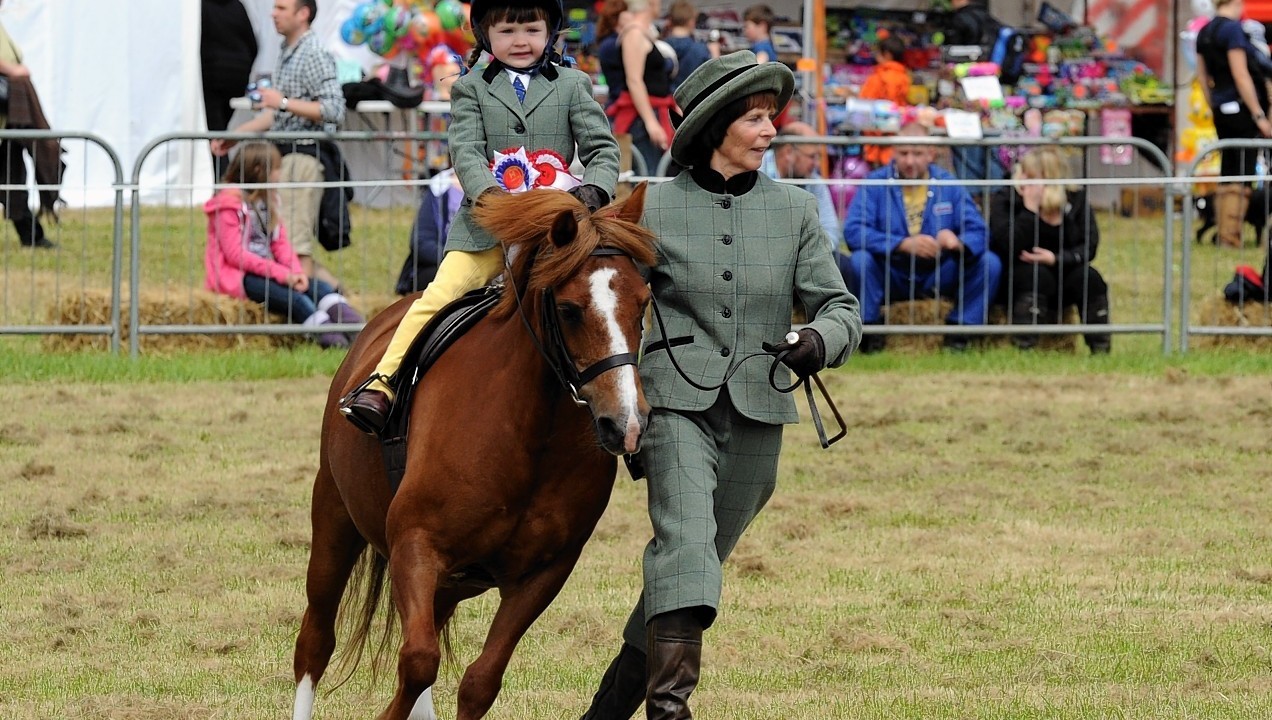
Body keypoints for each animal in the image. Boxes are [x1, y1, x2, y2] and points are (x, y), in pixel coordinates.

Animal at [291, 185, 656, 720]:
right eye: (570, 310)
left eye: (643, 303)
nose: (625, 423)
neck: (530, 431)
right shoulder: (416, 545)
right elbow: (419, 661)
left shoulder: (544, 572)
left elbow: (479, 681)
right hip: (335, 520)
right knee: (316, 640)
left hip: (450, 583)